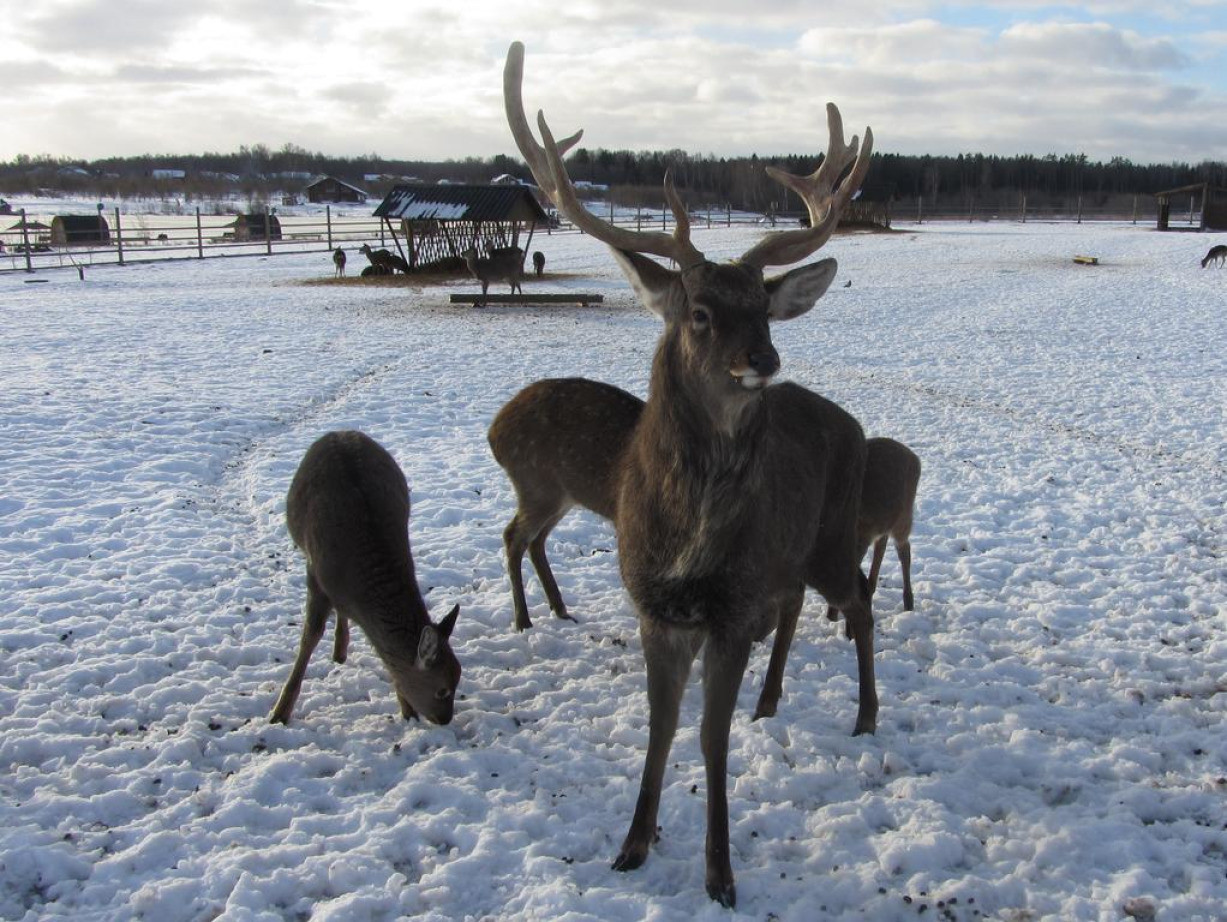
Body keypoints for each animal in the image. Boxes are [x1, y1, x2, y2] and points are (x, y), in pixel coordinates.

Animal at [268, 432, 461, 726]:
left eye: (458, 678)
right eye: (442, 690)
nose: (445, 719)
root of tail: (339, 432)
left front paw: (407, 711)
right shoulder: (315, 574)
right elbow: (309, 636)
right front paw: (279, 713)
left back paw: (340, 649)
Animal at [503, 43, 878, 908]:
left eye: (763, 309)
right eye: (700, 312)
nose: (762, 359)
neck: (688, 544)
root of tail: (852, 424)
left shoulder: (730, 611)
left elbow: (708, 739)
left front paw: (719, 871)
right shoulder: (655, 608)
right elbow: (660, 728)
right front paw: (632, 843)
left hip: (833, 534)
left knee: (861, 603)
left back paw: (867, 716)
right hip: (792, 556)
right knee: (802, 606)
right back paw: (771, 702)